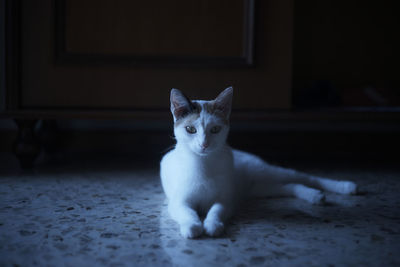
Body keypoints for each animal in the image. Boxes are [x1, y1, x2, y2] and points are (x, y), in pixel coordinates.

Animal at [159, 87, 356, 240]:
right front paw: (192, 226)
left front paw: (212, 225)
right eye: (190, 129)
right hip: (259, 188)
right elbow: (187, 212)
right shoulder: (179, 201)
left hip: (265, 172)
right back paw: (313, 195)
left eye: (215, 129)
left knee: (305, 177)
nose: (204, 144)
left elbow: (216, 210)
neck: (203, 163)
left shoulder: (225, 199)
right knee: (289, 186)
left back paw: (344, 187)